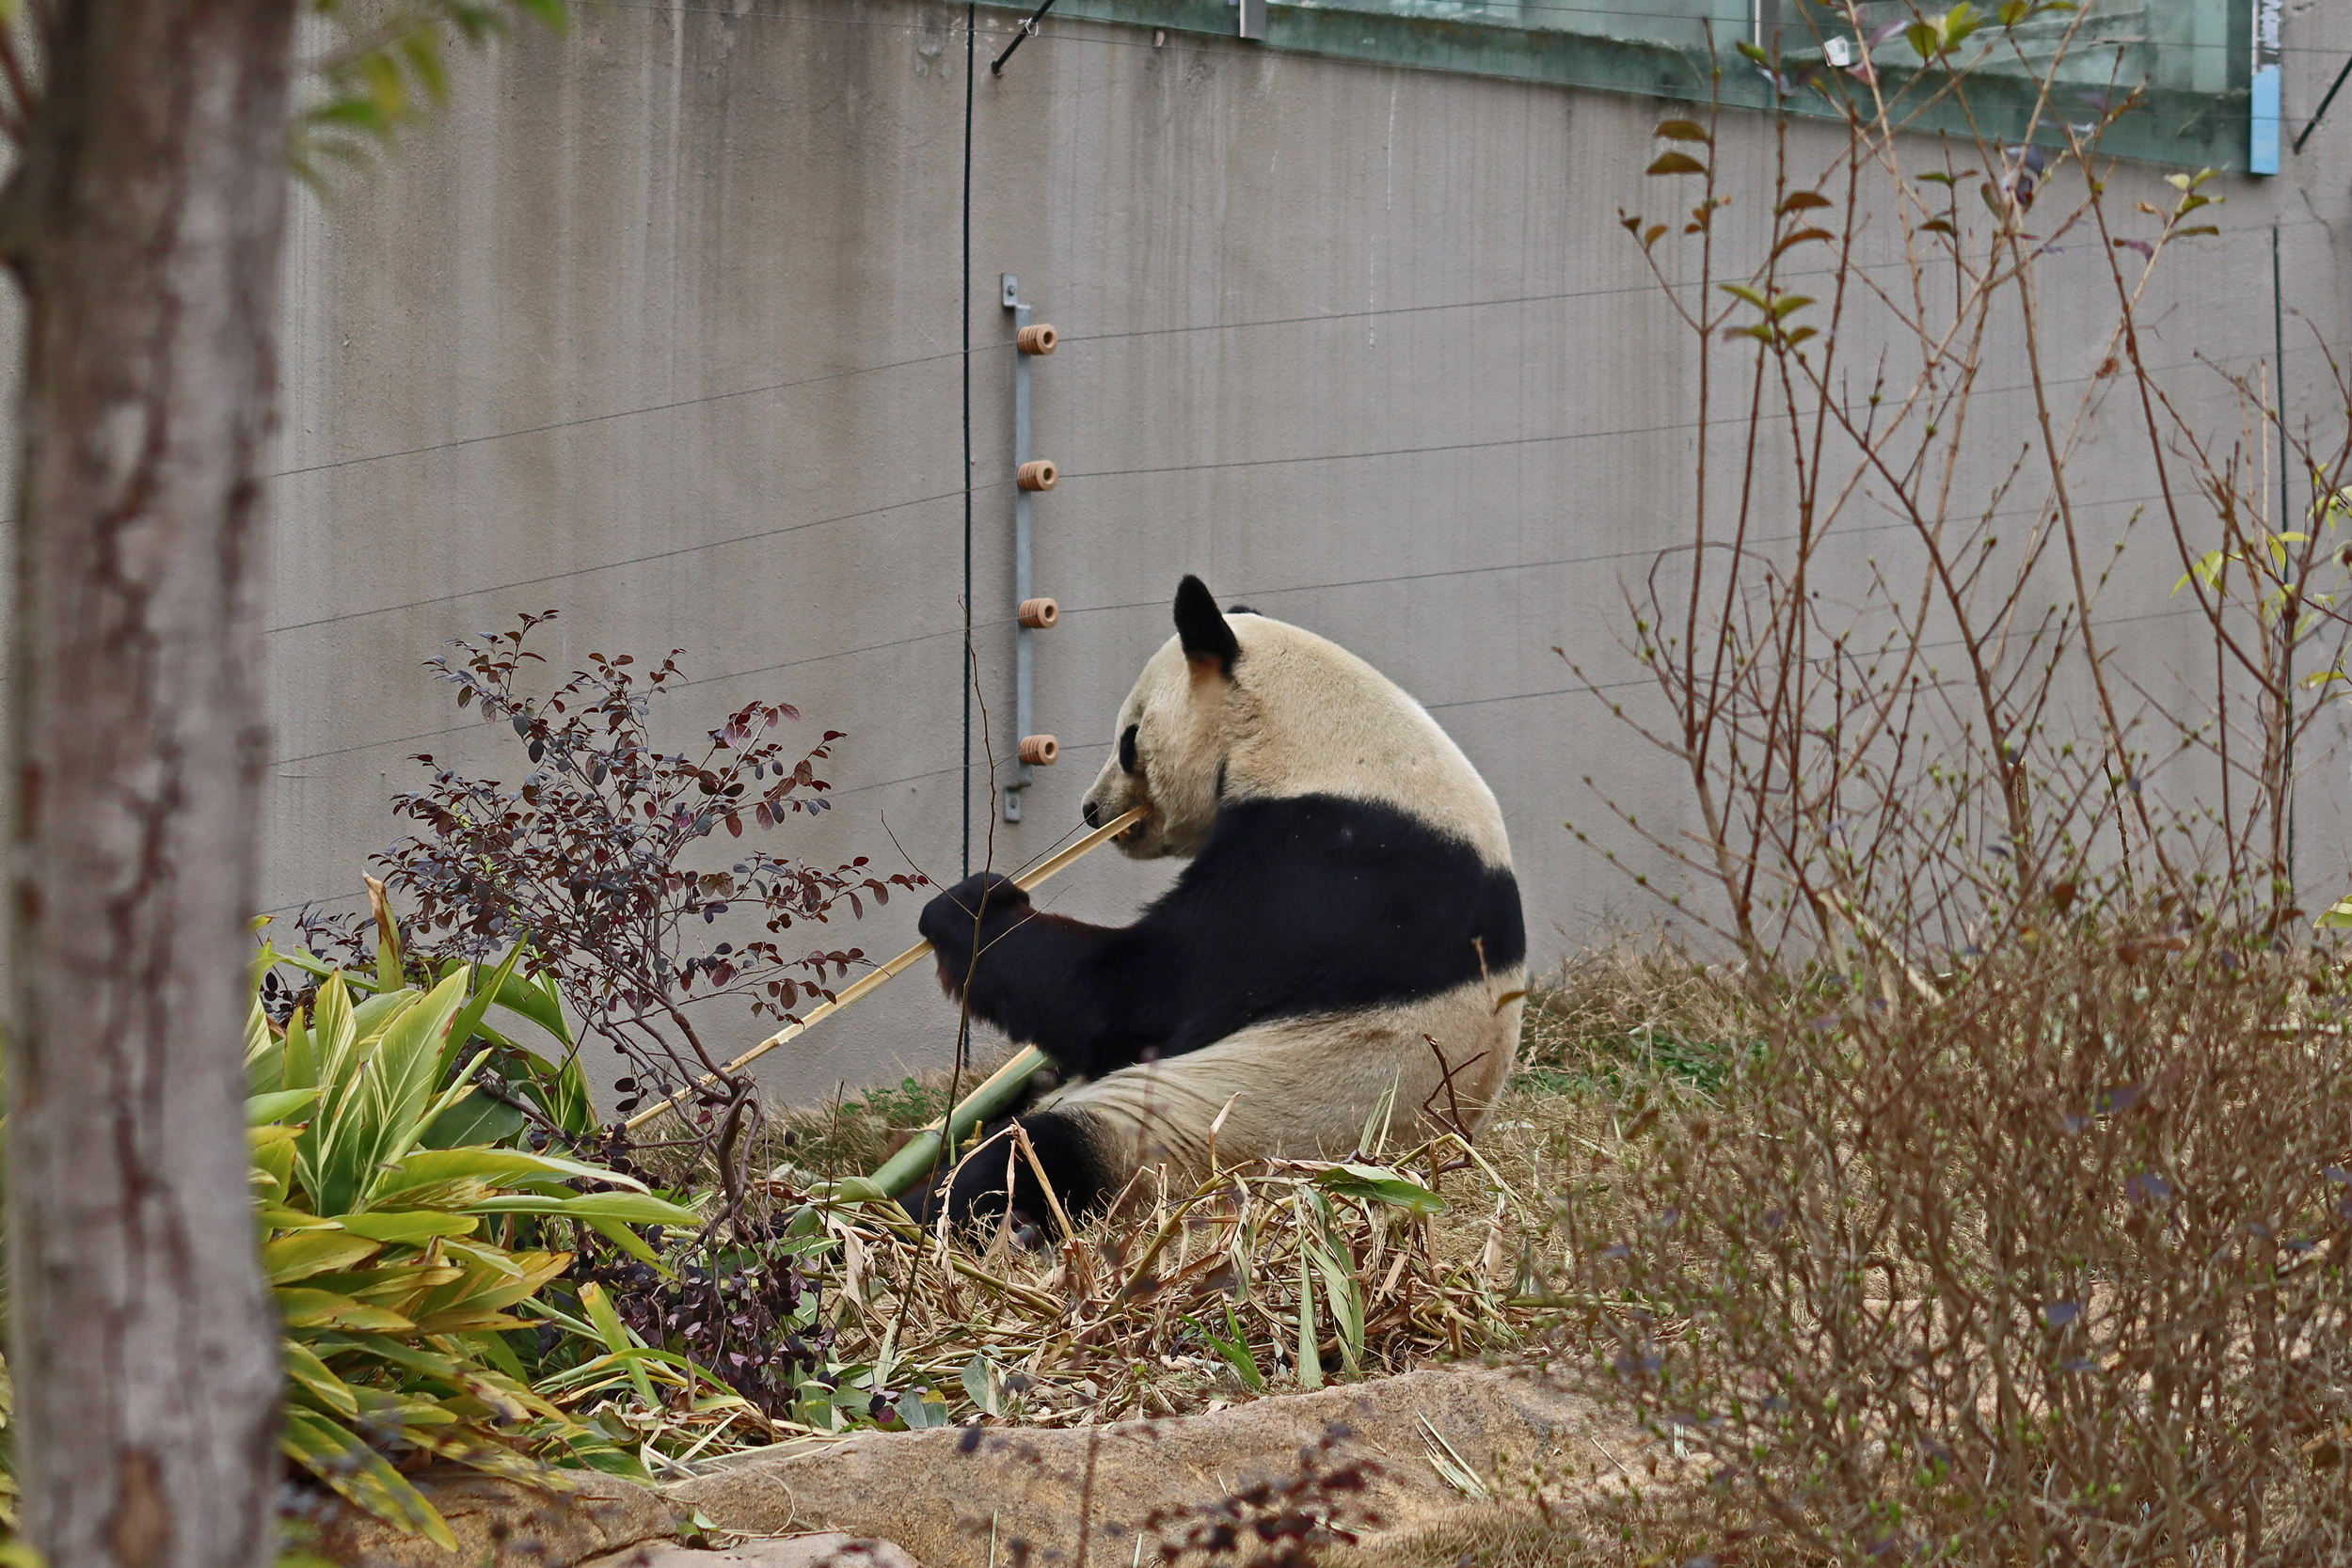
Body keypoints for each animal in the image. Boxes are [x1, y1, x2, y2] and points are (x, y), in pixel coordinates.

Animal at [912, 576, 1525, 1230]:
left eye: (1129, 741)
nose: (1092, 809)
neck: (1335, 749)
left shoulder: (1318, 871)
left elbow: (1129, 998)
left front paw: (969, 907)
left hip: (1186, 1142)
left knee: (1033, 1158)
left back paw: (909, 1213)